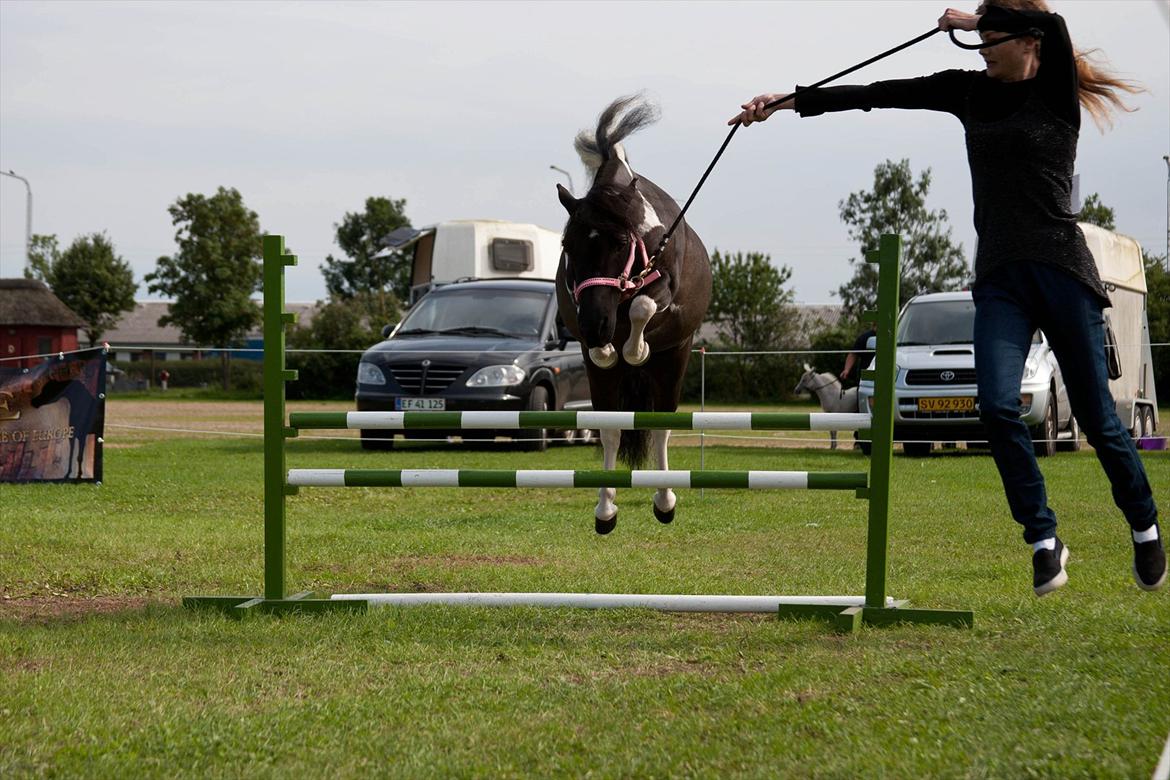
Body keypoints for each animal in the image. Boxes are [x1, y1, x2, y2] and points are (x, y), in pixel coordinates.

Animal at [554, 95, 711, 537]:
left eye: (622, 242)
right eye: (567, 245)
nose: (596, 327)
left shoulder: (661, 291)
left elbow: (643, 305)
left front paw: (633, 348)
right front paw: (608, 348)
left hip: (674, 358)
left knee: (660, 428)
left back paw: (664, 501)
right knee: (610, 430)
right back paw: (606, 510)